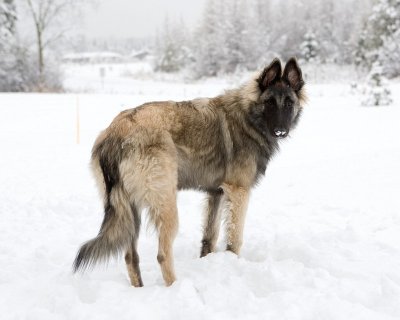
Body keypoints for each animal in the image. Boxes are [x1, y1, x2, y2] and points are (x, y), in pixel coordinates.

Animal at [73, 58, 304, 288]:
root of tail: (116, 133)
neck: (248, 117)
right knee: (162, 255)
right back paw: (175, 287)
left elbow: (210, 237)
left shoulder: (216, 193)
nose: (281, 131)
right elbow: (235, 239)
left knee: (130, 257)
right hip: (166, 204)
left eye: (289, 103)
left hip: (129, 209)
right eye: (270, 103)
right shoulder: (238, 192)